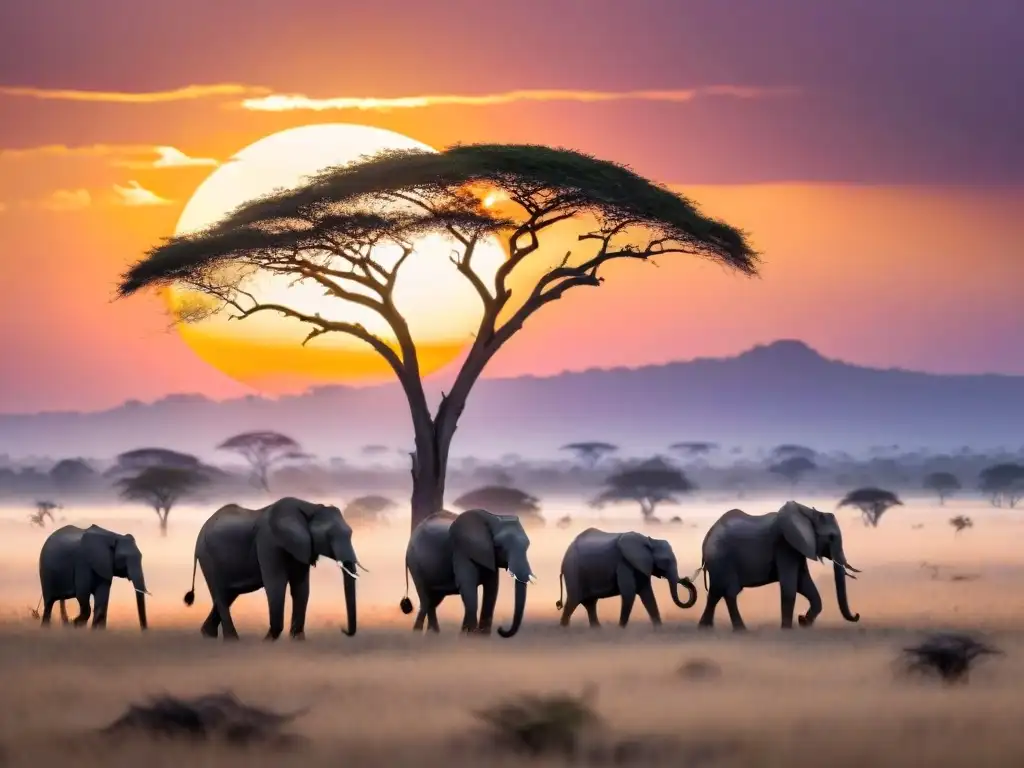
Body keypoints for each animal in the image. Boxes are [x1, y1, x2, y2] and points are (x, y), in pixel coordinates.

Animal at [184, 495, 364, 638]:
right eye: (329, 536)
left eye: (350, 533)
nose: (342, 629)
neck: (310, 507)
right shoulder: (269, 542)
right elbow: (276, 585)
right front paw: (269, 640)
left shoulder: (301, 548)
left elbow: (301, 588)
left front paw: (297, 640)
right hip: (208, 558)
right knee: (220, 594)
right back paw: (232, 640)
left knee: (228, 594)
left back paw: (208, 635)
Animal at [395, 507, 532, 638]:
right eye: (499, 546)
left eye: (527, 546)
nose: (500, 629)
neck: (494, 517)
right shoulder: (462, 552)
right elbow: (468, 589)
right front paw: (470, 638)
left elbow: (492, 590)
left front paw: (480, 638)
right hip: (415, 565)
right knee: (426, 599)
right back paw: (426, 635)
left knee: (433, 601)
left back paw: (428, 634)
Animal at [557, 528, 700, 630]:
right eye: (666, 561)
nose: (686, 579)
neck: (650, 541)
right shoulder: (624, 563)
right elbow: (629, 593)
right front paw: (620, 629)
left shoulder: (641, 566)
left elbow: (648, 595)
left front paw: (659, 628)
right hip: (573, 570)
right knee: (573, 601)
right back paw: (564, 629)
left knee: (590, 603)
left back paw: (597, 629)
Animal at [692, 501, 860, 634]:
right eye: (831, 537)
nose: (857, 615)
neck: (809, 513)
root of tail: (706, 538)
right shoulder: (785, 545)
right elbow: (790, 587)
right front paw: (787, 630)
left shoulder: (797, 548)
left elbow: (804, 585)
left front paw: (804, 623)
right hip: (722, 560)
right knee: (728, 592)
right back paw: (741, 631)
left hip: (718, 563)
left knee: (716, 592)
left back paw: (706, 629)